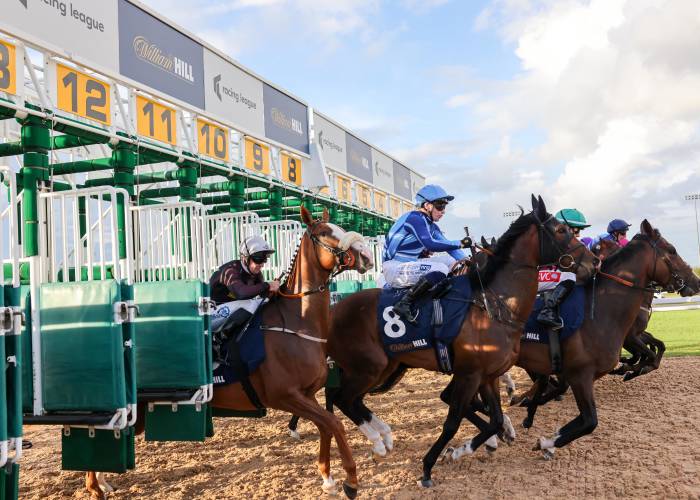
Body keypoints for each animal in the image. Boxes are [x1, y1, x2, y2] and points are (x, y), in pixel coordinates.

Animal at [86, 206, 378, 496]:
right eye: (325, 232)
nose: (365, 254)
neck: (296, 321)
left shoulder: (306, 395)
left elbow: (326, 425)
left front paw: (328, 478)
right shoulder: (283, 395)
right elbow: (334, 423)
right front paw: (350, 480)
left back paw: (102, 481)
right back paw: (94, 487)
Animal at [326, 196, 600, 488]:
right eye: (561, 230)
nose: (594, 262)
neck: (493, 304)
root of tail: (333, 310)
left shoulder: (488, 375)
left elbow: (495, 418)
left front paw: (475, 444)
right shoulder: (470, 374)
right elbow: (453, 421)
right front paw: (430, 465)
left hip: (381, 367)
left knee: (351, 400)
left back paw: (383, 436)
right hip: (368, 367)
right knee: (342, 398)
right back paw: (377, 442)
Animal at [452, 219, 696, 460]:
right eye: (672, 250)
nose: (696, 281)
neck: (600, 309)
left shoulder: (590, 366)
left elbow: (654, 352)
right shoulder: (583, 372)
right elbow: (589, 421)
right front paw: (544, 440)